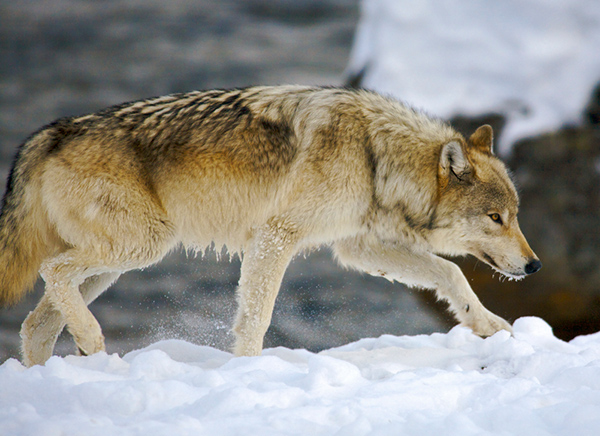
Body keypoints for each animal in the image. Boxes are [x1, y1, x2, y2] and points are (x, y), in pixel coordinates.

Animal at [0, 85, 540, 364]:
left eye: (515, 217)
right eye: (496, 218)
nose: (534, 267)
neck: (374, 154)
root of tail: (54, 133)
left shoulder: (356, 247)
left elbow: (451, 273)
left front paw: (489, 326)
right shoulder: (277, 236)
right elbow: (257, 316)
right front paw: (248, 369)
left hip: (119, 263)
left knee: (35, 323)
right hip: (142, 247)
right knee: (51, 271)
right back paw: (92, 342)